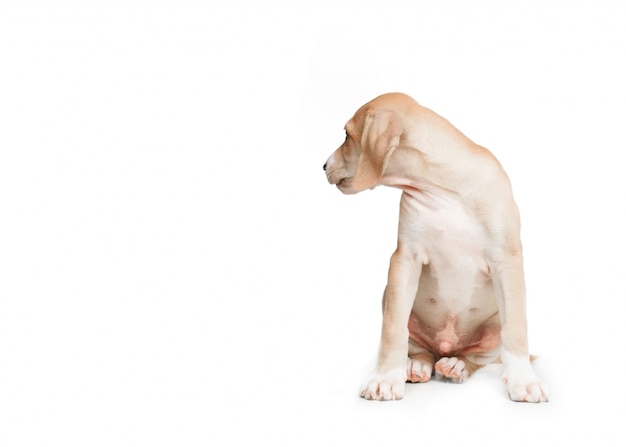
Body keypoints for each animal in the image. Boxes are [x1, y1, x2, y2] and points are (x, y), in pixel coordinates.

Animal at [322, 93, 544, 402]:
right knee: (419, 349)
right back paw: (416, 366)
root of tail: (445, 348)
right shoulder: (405, 260)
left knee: (476, 359)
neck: (443, 191)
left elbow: (516, 330)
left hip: (492, 327)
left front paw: (524, 381)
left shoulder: (507, 262)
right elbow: (392, 330)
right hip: (390, 298)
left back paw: (455, 366)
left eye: (346, 135)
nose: (323, 165)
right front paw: (384, 378)